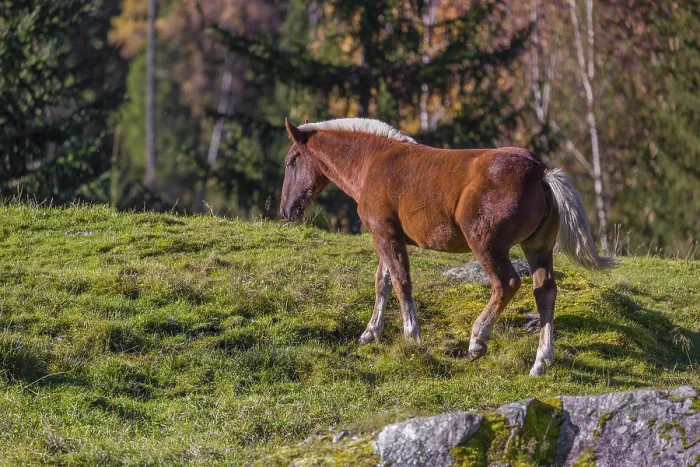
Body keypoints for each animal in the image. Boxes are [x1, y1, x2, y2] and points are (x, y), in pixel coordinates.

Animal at [279, 117, 615, 376]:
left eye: (290, 161)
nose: (286, 210)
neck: (373, 163)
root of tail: (539, 171)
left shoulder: (385, 233)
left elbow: (401, 282)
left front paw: (411, 336)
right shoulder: (386, 235)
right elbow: (382, 282)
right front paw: (370, 332)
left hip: (487, 243)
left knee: (506, 283)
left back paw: (478, 340)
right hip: (538, 247)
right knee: (544, 292)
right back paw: (541, 362)